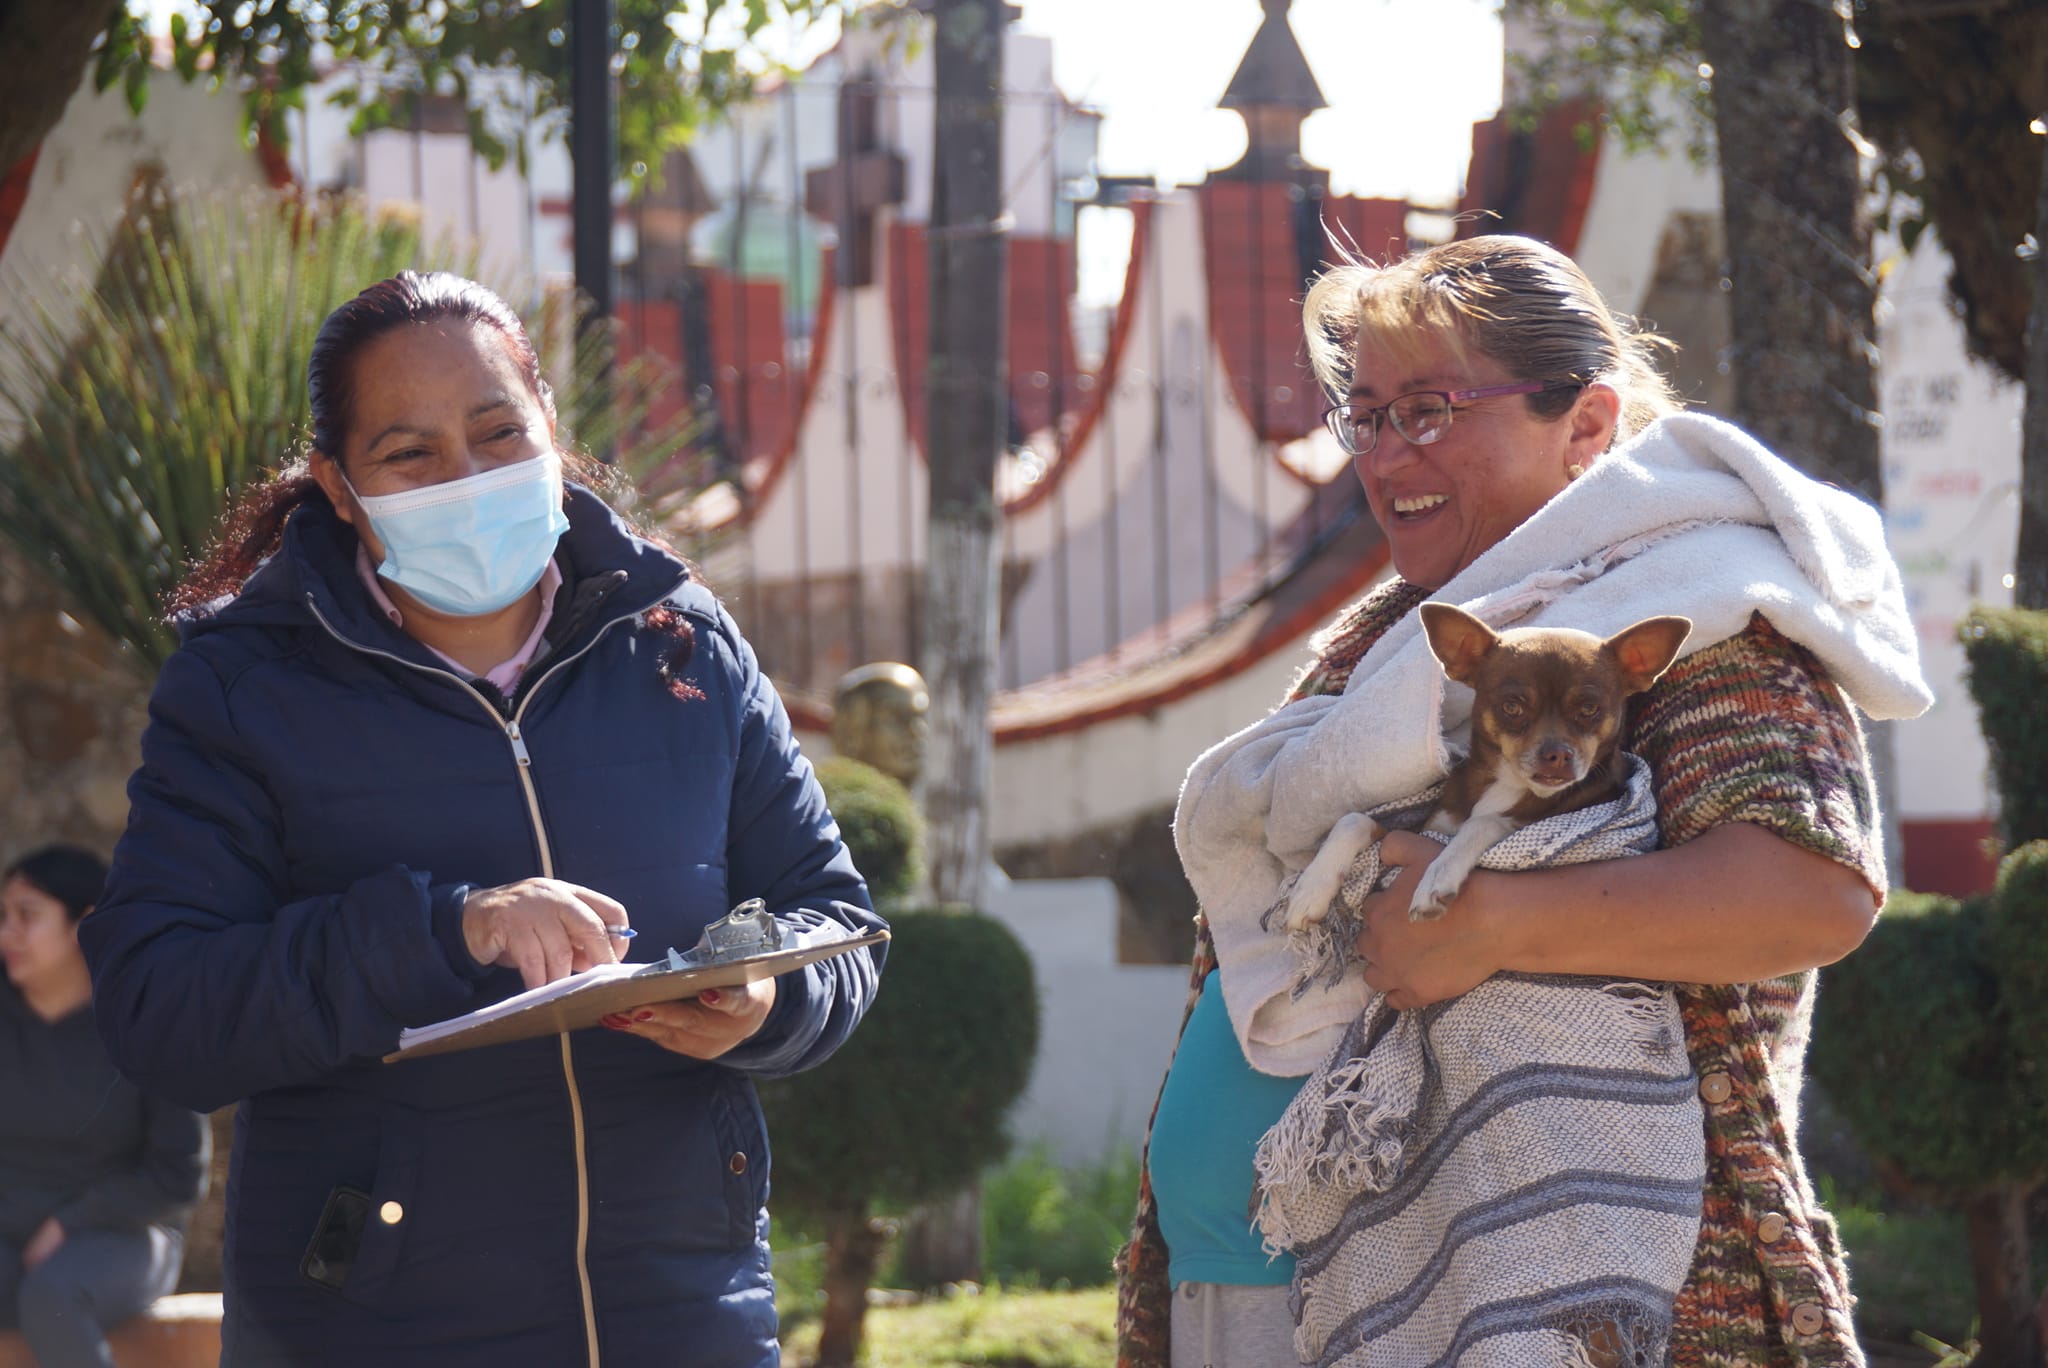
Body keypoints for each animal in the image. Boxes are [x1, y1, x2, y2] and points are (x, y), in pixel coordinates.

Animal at [1286, 606, 1687, 929]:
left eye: (1589, 709)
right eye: (1512, 706)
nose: (1557, 754)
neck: (1508, 783)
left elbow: (1483, 822)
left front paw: (1437, 879)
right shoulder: (1425, 829)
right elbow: (1354, 819)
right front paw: (1309, 890)